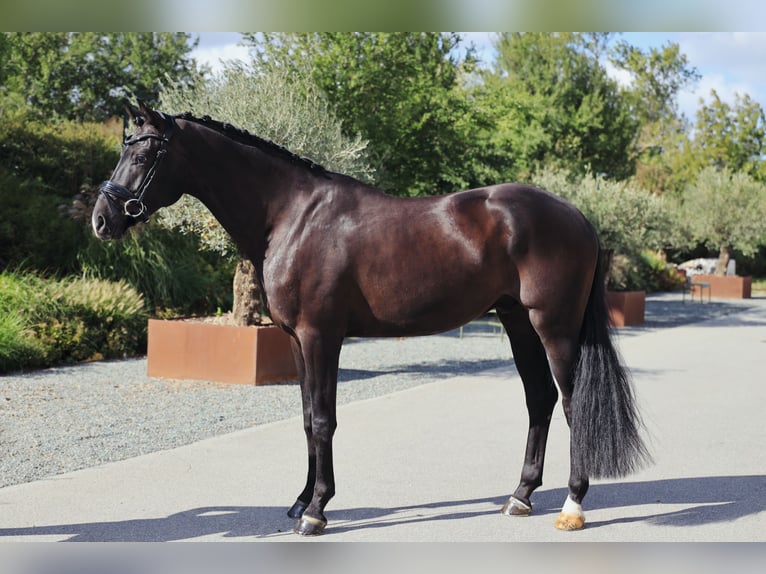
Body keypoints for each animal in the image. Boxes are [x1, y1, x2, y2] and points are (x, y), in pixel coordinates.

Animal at [92, 100, 650, 536]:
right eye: (124, 148)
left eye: (142, 153)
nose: (102, 219)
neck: (292, 216)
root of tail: (576, 216)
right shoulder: (294, 340)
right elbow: (305, 418)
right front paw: (301, 500)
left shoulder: (321, 336)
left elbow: (323, 419)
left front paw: (316, 511)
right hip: (517, 322)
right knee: (540, 399)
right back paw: (520, 496)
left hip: (553, 325)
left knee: (574, 402)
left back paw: (572, 506)